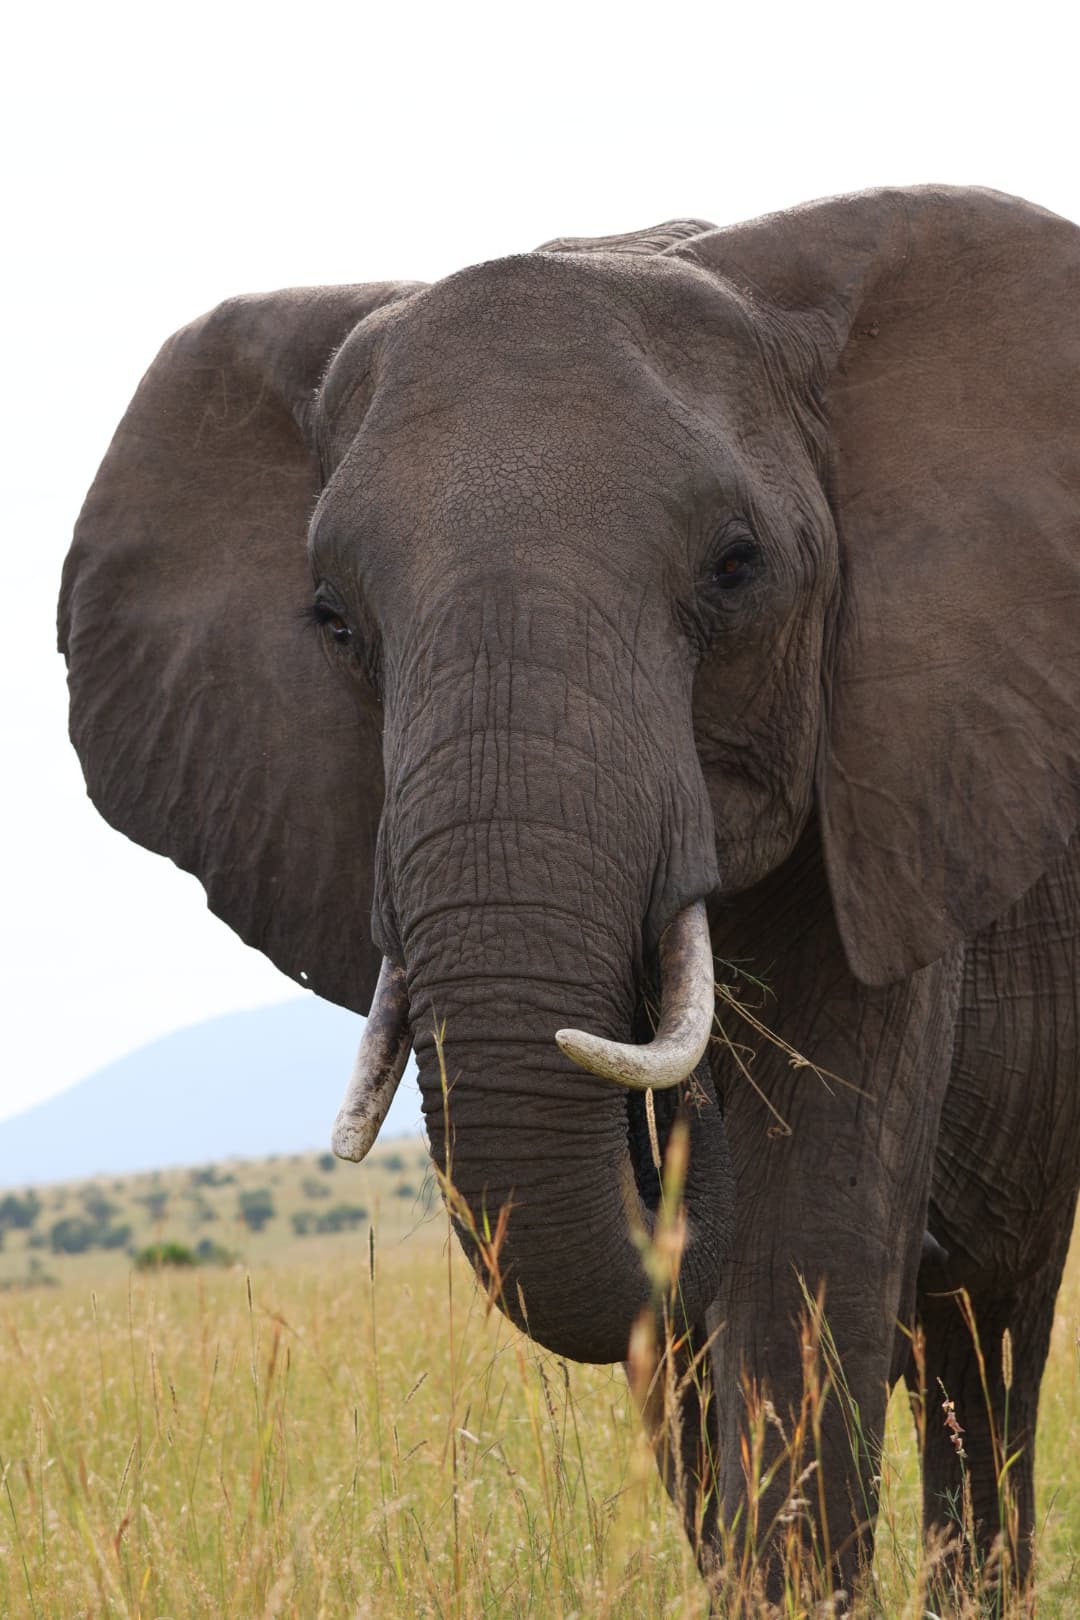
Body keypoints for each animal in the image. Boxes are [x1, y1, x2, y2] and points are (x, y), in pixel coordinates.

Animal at [59, 186, 1080, 1605]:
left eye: (736, 568)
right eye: (332, 618)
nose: (681, 1150)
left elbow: (805, 1254)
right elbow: (692, 1348)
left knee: (985, 1338)